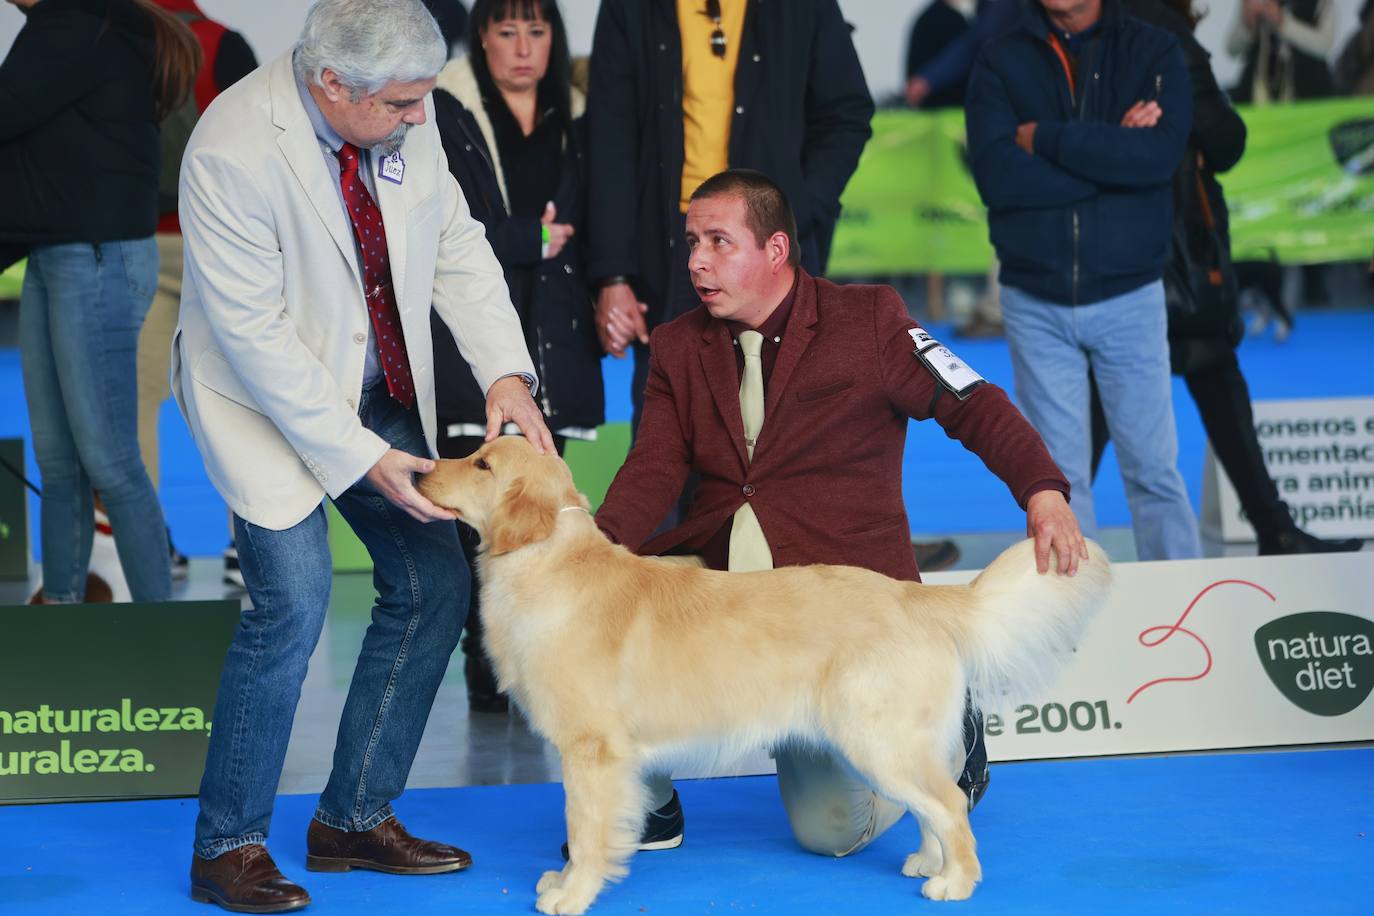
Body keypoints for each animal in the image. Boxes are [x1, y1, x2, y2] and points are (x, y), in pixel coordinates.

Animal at [414, 439, 1104, 911]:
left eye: (481, 463)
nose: (419, 470)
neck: (546, 562)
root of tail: (915, 594)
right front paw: (569, 879)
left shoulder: (592, 751)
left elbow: (584, 828)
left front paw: (573, 892)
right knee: (936, 801)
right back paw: (925, 863)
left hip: (876, 739)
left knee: (951, 802)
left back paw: (955, 881)